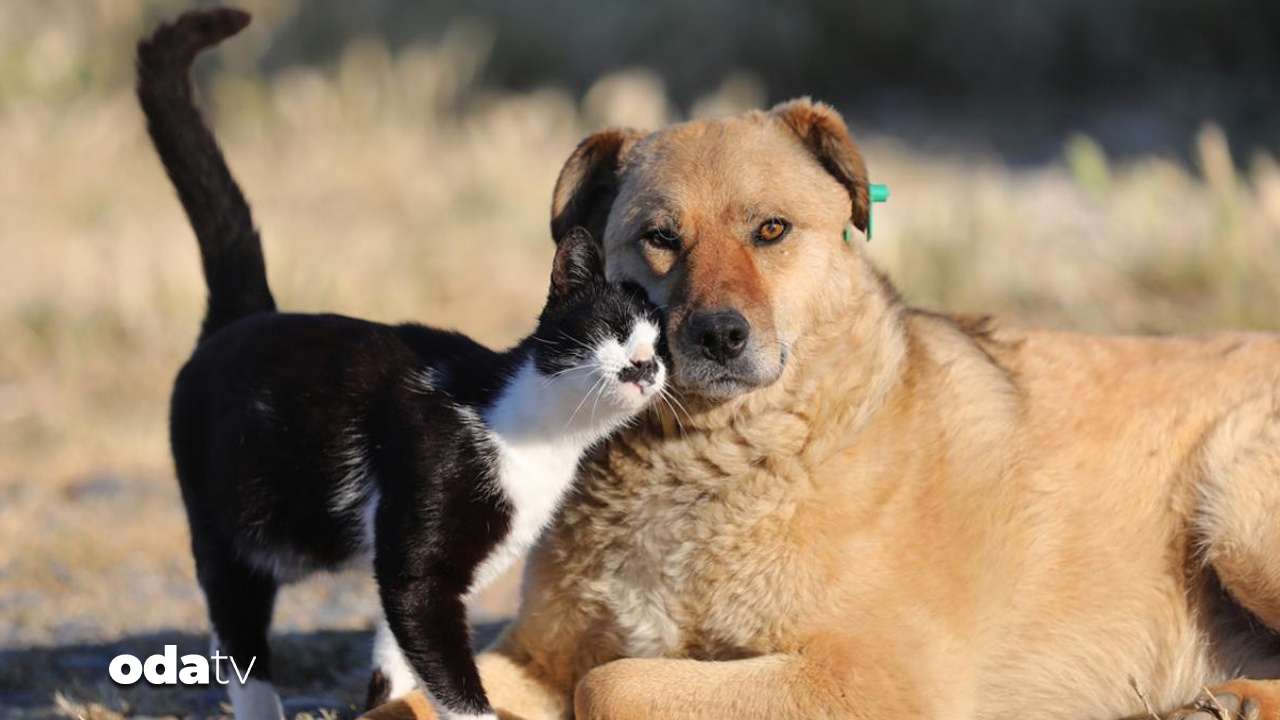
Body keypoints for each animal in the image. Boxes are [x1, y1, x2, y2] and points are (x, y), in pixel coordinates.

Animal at [137, 9, 670, 717]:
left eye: (663, 347)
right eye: (614, 329)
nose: (643, 366)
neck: (545, 435)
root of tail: (243, 315)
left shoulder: (434, 569)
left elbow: (400, 657)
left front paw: (382, 703)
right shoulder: (419, 561)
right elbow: (455, 680)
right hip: (232, 534)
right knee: (240, 638)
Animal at [368, 99, 1280, 717]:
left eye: (772, 230)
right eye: (661, 237)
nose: (719, 336)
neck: (706, 456)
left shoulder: (869, 677)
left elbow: (612, 682)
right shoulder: (535, 654)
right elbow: (408, 701)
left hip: (1237, 506)